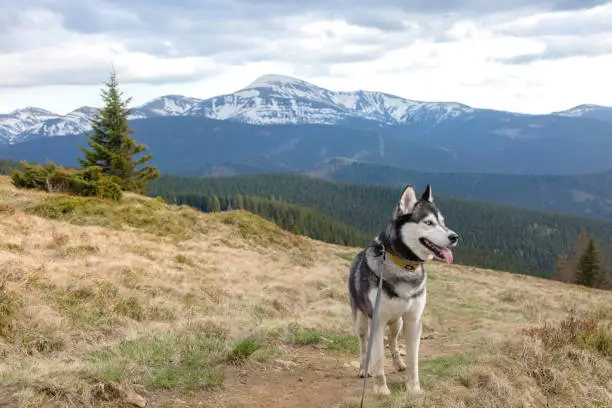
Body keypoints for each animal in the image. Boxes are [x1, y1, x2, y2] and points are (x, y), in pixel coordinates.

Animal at [346, 185, 456, 396]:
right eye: (428, 222)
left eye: (443, 222)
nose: (455, 237)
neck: (405, 266)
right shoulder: (377, 320)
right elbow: (378, 359)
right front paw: (381, 390)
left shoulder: (413, 320)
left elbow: (414, 360)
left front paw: (414, 388)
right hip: (362, 322)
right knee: (364, 345)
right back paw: (364, 369)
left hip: (397, 322)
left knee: (393, 341)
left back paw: (398, 363)